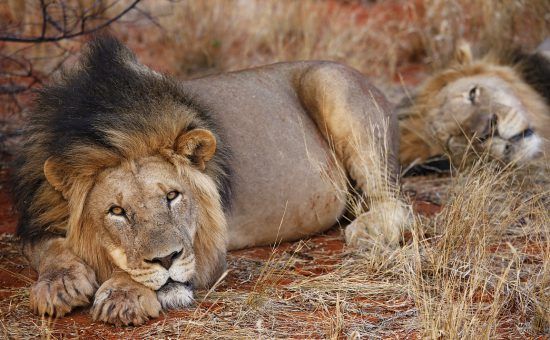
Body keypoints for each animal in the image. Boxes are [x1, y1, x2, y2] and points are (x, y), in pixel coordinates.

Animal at [12, 35, 412, 326]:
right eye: (117, 211)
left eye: (173, 196)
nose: (167, 260)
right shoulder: (36, 215)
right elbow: (49, 247)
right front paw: (59, 283)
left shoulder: (209, 244)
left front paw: (122, 294)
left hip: (332, 87)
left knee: (395, 203)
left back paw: (367, 232)